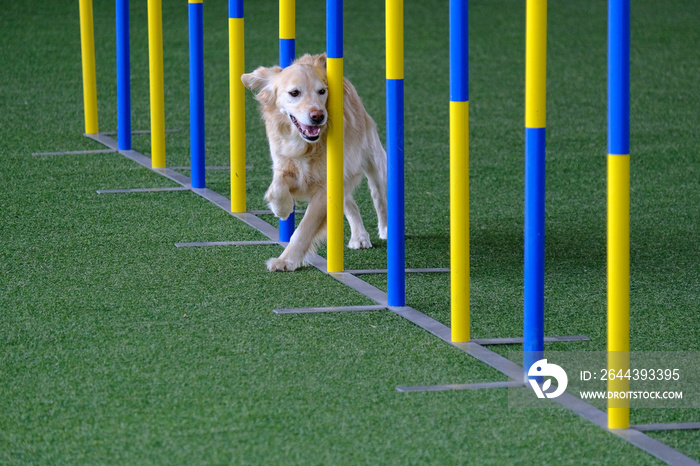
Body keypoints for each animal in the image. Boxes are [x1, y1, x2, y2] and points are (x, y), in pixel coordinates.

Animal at [243, 53, 388, 274]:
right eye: (294, 93)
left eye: (322, 91)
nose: (318, 116)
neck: (305, 145)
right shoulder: (284, 164)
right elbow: (277, 186)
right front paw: (281, 208)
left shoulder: (324, 188)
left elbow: (304, 229)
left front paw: (286, 260)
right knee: (350, 202)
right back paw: (359, 236)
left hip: (373, 160)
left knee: (379, 196)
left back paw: (386, 229)